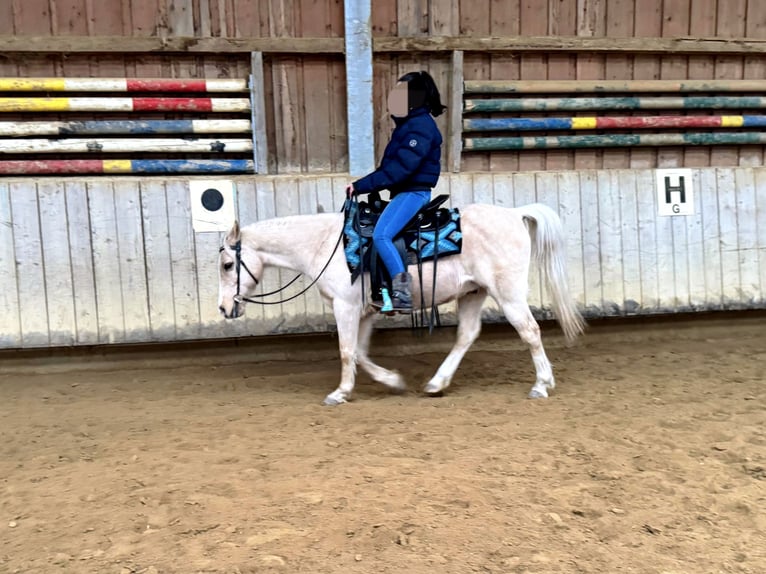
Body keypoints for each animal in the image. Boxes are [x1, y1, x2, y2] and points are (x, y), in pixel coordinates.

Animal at [217, 200, 585, 405]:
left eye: (227, 265)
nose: (224, 309)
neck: (325, 244)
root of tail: (514, 214)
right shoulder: (364, 311)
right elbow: (360, 352)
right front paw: (392, 381)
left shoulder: (345, 306)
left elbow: (347, 351)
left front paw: (339, 393)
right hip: (473, 293)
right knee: (466, 335)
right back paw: (437, 383)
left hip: (508, 294)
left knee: (530, 332)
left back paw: (541, 385)